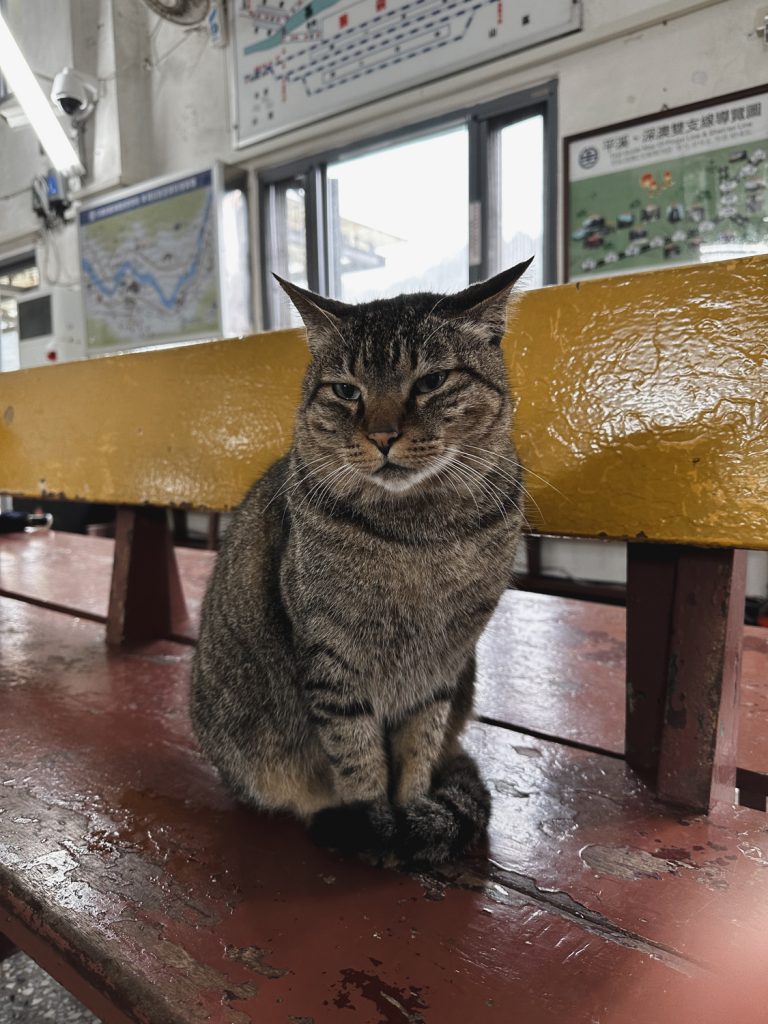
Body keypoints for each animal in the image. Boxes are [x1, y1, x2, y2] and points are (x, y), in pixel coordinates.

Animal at [189, 260, 532, 868]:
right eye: (346, 391)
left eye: (431, 382)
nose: (382, 435)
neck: (419, 535)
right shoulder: (331, 657)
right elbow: (357, 757)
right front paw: (375, 826)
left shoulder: (443, 663)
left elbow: (419, 749)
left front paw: (409, 816)